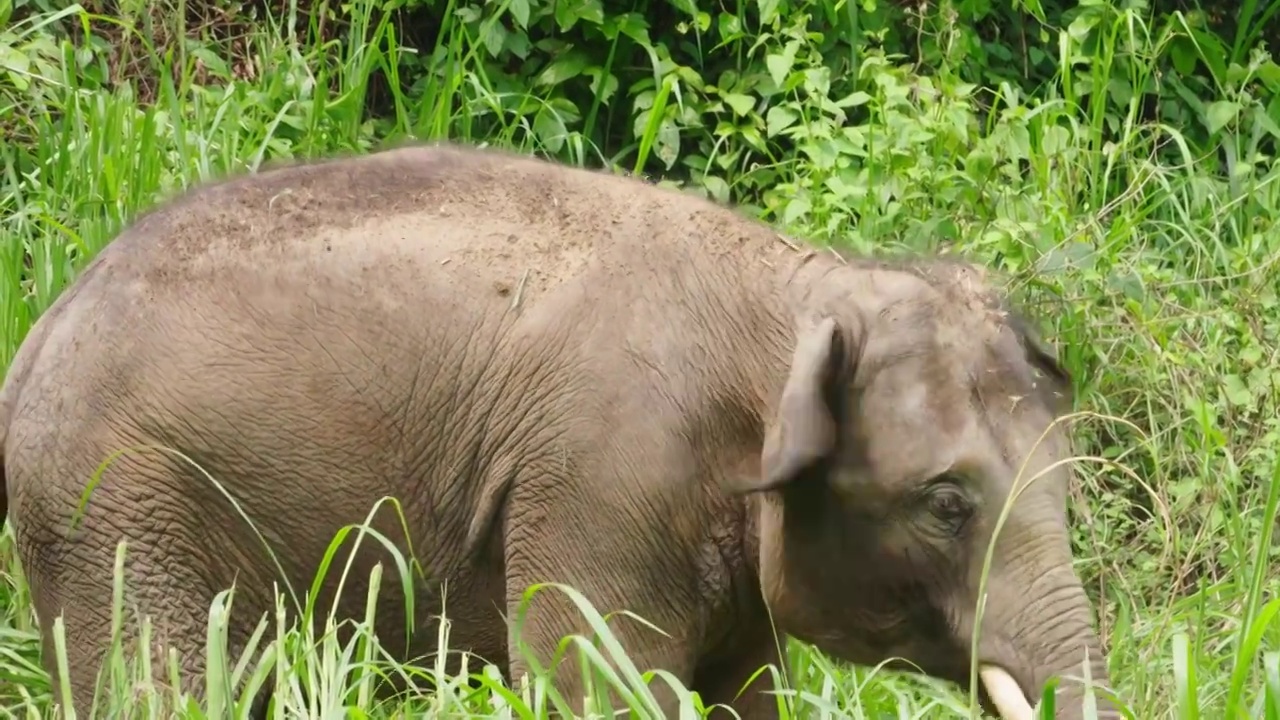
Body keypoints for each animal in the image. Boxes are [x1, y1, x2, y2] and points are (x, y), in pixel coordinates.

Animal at [0, 139, 1116, 712]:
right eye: (945, 504)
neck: (791, 296)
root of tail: (43, 324)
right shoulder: (601, 484)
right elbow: (602, 688)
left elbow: (746, 693)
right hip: (116, 511)